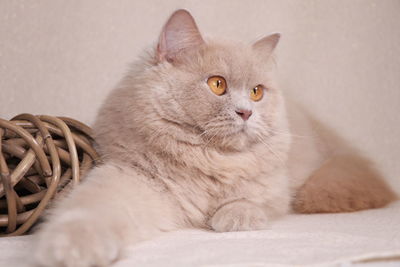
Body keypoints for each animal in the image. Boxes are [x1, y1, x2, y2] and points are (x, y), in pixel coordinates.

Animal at [32, 8, 396, 267]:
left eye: (256, 92)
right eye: (217, 84)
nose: (246, 112)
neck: (209, 159)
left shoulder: (274, 189)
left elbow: (248, 199)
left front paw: (234, 218)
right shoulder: (131, 179)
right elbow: (88, 210)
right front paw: (72, 249)